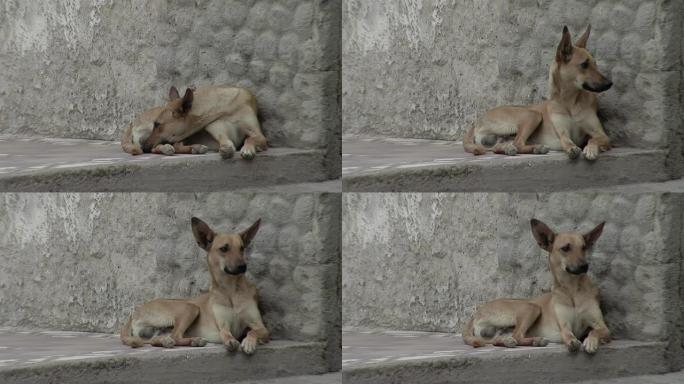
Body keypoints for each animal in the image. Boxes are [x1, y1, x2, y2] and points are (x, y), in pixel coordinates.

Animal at [121, 85, 266, 160]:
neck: (225, 107)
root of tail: (132, 122)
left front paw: (248, 148)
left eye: (157, 125)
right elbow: (226, 142)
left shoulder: (259, 135)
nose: (145, 147)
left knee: (175, 145)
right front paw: (227, 148)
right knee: (165, 147)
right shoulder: (216, 129)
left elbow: (251, 138)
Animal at [121, 218, 272, 356]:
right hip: (190, 307)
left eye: (242, 248)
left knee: (158, 339)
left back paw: (169, 341)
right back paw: (192, 340)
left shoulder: (261, 326)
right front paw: (231, 341)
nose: (243, 266)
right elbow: (226, 334)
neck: (231, 291)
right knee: (175, 336)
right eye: (224, 248)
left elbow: (253, 331)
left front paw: (248, 342)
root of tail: (137, 309)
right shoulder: (223, 325)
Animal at [462, 219, 612, 354]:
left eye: (584, 247)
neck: (572, 290)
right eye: (565, 248)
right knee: (516, 335)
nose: (584, 266)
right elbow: (568, 334)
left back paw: (512, 341)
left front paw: (591, 341)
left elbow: (595, 331)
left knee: (501, 339)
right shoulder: (564, 325)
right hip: (532, 307)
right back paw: (534, 340)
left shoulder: (602, 326)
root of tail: (476, 312)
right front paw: (572, 342)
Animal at [464, 24, 616, 160]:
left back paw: (514, 149)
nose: (609, 83)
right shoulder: (563, 133)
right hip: (533, 115)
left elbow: (593, 139)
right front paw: (572, 148)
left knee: (505, 146)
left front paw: (590, 149)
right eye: (584, 65)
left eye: (595, 64)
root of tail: (478, 120)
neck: (570, 101)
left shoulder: (601, 135)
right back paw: (535, 148)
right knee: (518, 143)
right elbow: (566, 141)